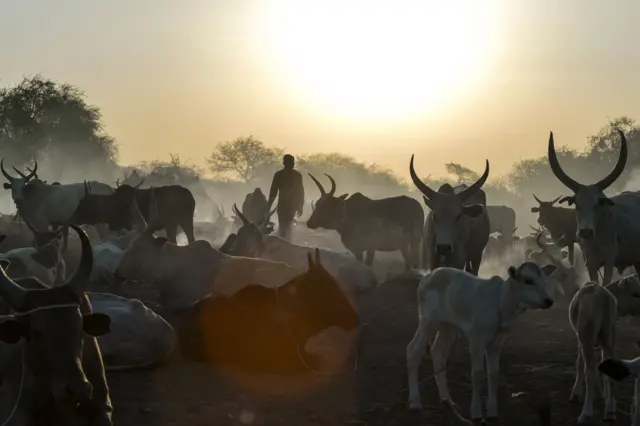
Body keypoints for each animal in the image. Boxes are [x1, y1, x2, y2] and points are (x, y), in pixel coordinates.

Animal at [408, 262, 556, 422]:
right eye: (528, 281)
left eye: (545, 281)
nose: (548, 300)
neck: (500, 304)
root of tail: (427, 276)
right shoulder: (476, 340)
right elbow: (478, 375)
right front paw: (476, 412)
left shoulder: (496, 342)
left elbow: (493, 373)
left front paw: (492, 411)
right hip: (428, 321)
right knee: (413, 351)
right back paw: (415, 402)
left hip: (448, 326)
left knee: (438, 353)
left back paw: (447, 399)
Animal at [568, 276, 640, 422]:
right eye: (636, 294)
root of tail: (603, 295)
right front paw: (606, 396)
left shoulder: (581, 339)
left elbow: (579, 364)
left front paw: (576, 393)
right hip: (608, 337)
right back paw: (610, 408)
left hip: (587, 337)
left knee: (589, 371)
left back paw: (586, 412)